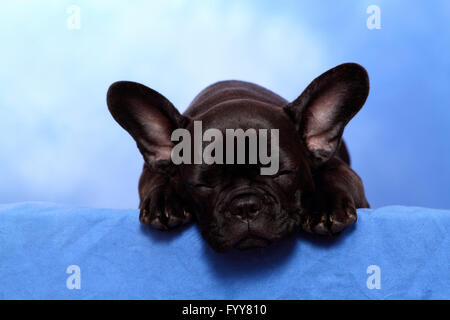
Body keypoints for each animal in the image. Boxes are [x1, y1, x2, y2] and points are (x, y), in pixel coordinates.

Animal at [108, 63, 370, 252]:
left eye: (282, 172)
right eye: (202, 185)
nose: (245, 206)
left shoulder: (339, 168)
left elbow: (335, 176)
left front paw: (325, 207)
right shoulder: (151, 170)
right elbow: (155, 179)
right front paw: (163, 201)